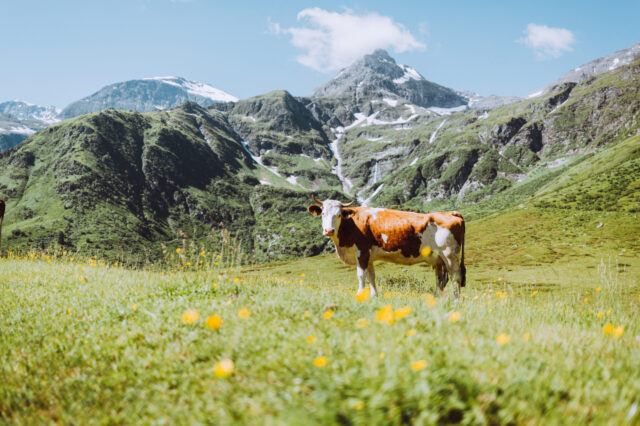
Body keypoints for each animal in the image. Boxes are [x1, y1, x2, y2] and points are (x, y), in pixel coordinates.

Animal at [307, 195, 466, 299]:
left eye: (339, 214)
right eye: (323, 213)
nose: (329, 230)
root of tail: (452, 213)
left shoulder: (361, 252)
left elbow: (361, 275)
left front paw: (359, 294)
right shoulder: (369, 257)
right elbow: (371, 276)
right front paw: (373, 296)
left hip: (450, 255)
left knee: (456, 277)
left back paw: (456, 300)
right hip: (439, 260)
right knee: (441, 280)